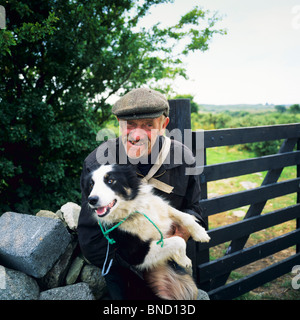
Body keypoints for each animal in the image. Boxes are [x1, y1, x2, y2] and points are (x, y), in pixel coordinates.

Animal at [86, 165, 209, 300]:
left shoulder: (161, 208)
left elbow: (184, 215)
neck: (134, 211)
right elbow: (178, 240)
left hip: (190, 286)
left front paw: (200, 233)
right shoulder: (135, 255)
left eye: (110, 180)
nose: (91, 200)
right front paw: (184, 260)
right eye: (91, 185)